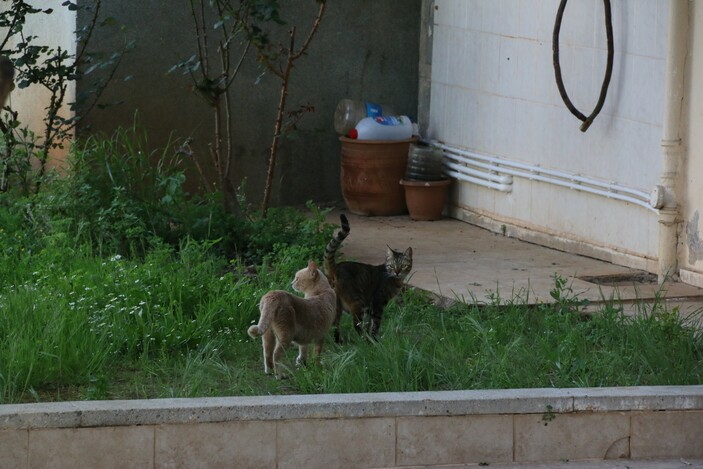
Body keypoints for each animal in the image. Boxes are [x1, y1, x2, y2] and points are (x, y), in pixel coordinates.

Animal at [324, 214, 412, 342]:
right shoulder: (378, 302)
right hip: (357, 302)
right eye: (392, 266)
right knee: (356, 324)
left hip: (338, 306)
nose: (397, 272)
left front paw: (371, 337)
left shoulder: (370, 307)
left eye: (403, 266)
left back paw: (339, 342)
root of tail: (336, 267)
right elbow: (375, 323)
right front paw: (375, 339)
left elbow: (369, 324)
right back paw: (363, 340)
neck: (395, 280)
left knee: (335, 325)